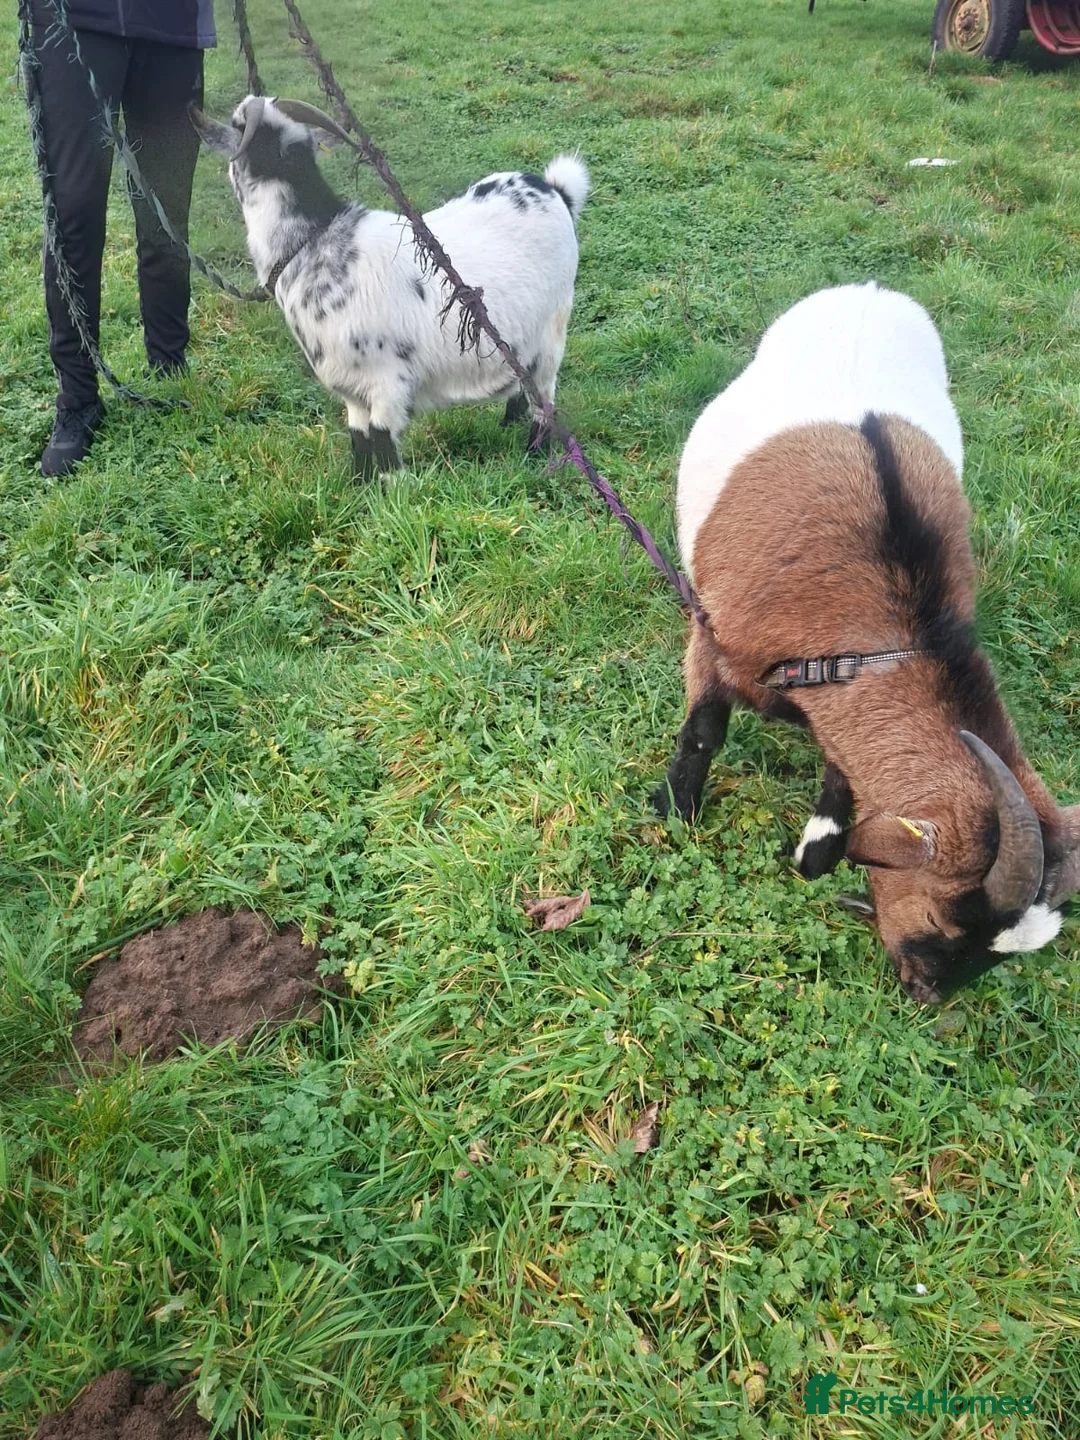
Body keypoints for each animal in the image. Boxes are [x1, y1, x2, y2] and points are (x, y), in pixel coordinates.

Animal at [191, 96, 589, 478]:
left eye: (239, 125)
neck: (314, 243)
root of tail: (555, 191)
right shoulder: (352, 392)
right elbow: (360, 442)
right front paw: (359, 491)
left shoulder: (387, 384)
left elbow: (383, 447)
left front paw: (394, 495)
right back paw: (508, 426)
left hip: (554, 326)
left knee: (544, 397)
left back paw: (534, 456)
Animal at [654, 282, 1079, 1004]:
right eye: (946, 916)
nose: (925, 991)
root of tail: (870, 290)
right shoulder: (713, 640)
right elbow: (704, 731)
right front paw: (677, 818)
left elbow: (843, 771)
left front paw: (814, 854)